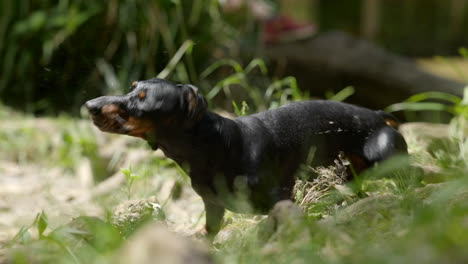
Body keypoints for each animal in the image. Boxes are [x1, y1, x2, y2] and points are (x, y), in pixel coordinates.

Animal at [86, 78, 408, 235]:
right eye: (131, 88)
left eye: (142, 101)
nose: (90, 105)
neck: (217, 146)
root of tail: (378, 116)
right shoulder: (213, 206)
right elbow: (209, 230)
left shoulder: (281, 199)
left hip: (388, 160)